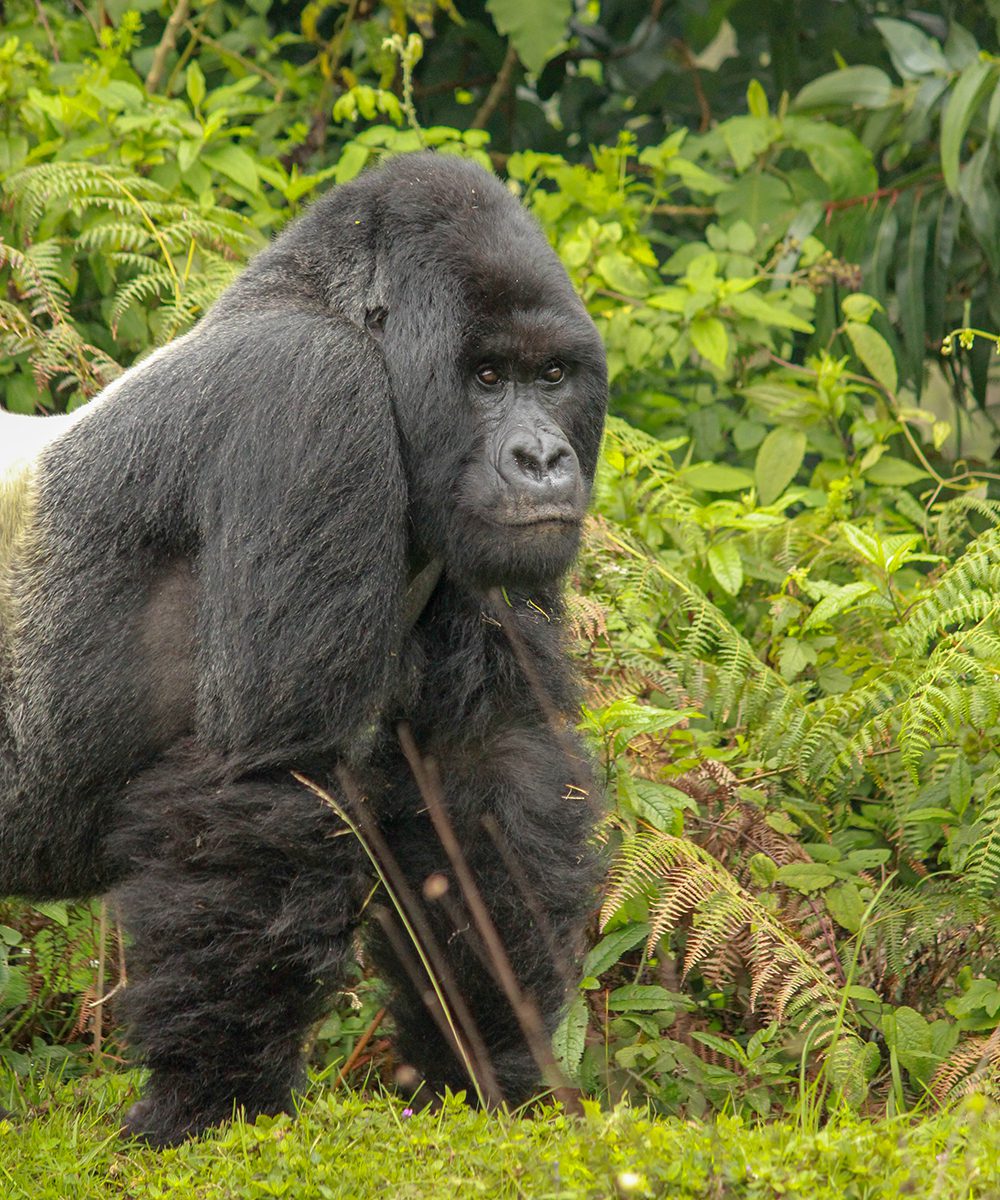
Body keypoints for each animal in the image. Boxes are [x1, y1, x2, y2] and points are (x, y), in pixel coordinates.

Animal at [0, 150, 609, 1142]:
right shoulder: (310, 398)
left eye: (551, 374)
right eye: (486, 377)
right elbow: (264, 773)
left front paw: (487, 1063)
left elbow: (480, 773)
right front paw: (215, 1104)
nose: (543, 460)